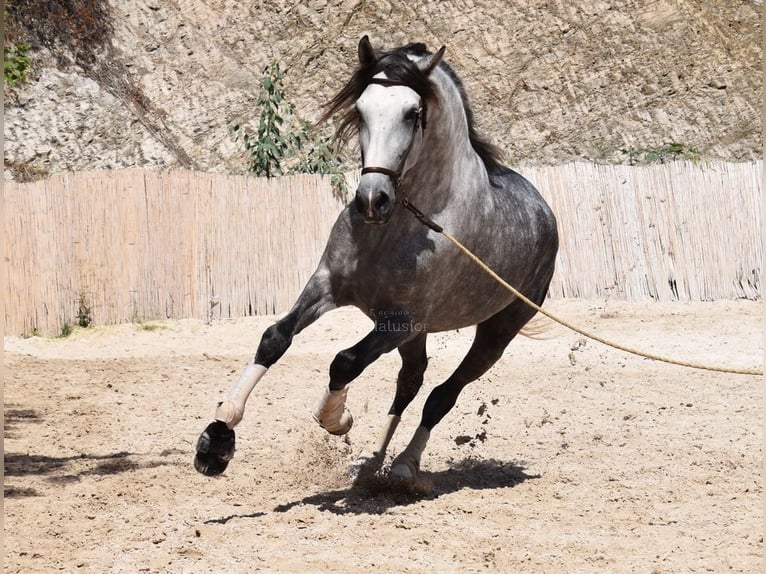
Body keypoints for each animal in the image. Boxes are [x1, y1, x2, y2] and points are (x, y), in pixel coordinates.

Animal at [195, 37, 560, 482]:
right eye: (360, 109)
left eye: (413, 113)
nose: (372, 199)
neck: (405, 223)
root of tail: (544, 210)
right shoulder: (327, 286)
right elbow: (275, 338)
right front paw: (217, 440)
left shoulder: (400, 322)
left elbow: (344, 362)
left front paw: (337, 419)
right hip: (418, 337)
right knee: (411, 381)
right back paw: (373, 464)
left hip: (495, 334)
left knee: (442, 394)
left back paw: (404, 466)